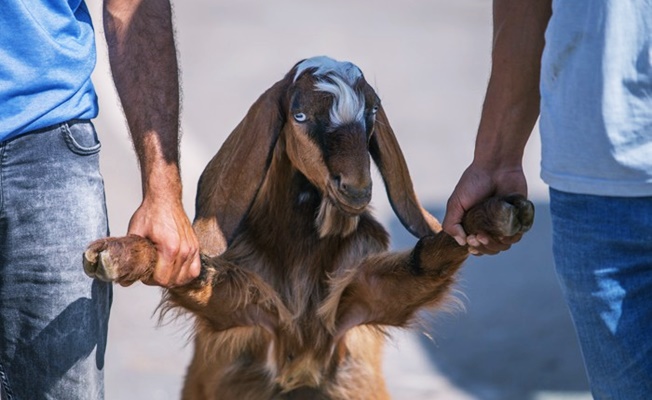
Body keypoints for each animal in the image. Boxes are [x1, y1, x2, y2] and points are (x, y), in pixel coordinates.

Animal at [84, 56, 532, 400]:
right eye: (299, 116)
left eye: (371, 114)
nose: (356, 188)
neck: (303, 261)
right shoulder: (245, 313)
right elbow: (195, 274)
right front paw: (119, 253)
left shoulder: (361, 302)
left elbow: (431, 258)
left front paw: (496, 214)